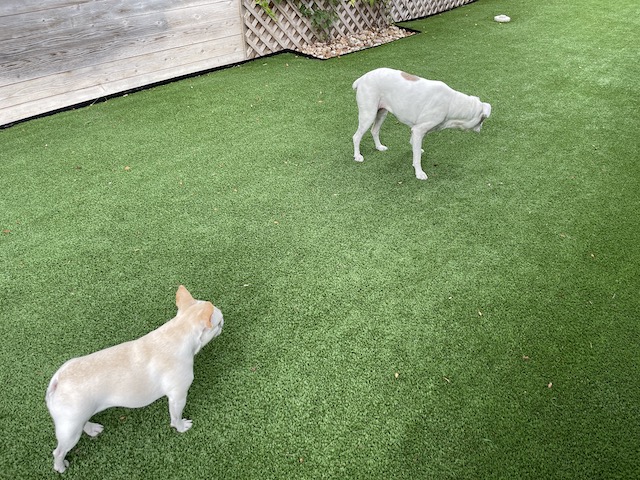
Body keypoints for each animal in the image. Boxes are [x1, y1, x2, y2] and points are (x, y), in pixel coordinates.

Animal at [45, 285, 223, 473]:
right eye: (219, 322)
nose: (223, 323)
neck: (178, 329)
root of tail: (57, 382)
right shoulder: (178, 397)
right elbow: (176, 416)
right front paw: (181, 427)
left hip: (77, 418)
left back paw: (92, 429)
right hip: (70, 430)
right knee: (58, 451)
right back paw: (60, 467)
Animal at [352, 68, 491, 180]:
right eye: (482, 120)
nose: (481, 128)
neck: (451, 103)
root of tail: (362, 79)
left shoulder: (416, 130)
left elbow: (414, 146)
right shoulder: (419, 130)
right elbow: (417, 157)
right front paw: (419, 173)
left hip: (381, 113)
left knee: (374, 130)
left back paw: (379, 147)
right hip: (368, 114)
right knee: (356, 136)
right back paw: (358, 156)